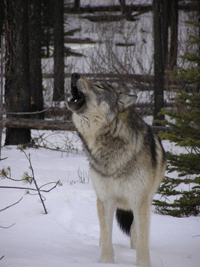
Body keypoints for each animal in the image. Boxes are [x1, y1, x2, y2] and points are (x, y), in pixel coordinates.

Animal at [66, 73, 166, 267]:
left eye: (99, 86)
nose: (74, 74)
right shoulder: (105, 199)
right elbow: (106, 237)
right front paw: (106, 262)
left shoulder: (139, 200)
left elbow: (142, 240)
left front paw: (143, 263)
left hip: (145, 200)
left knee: (136, 231)